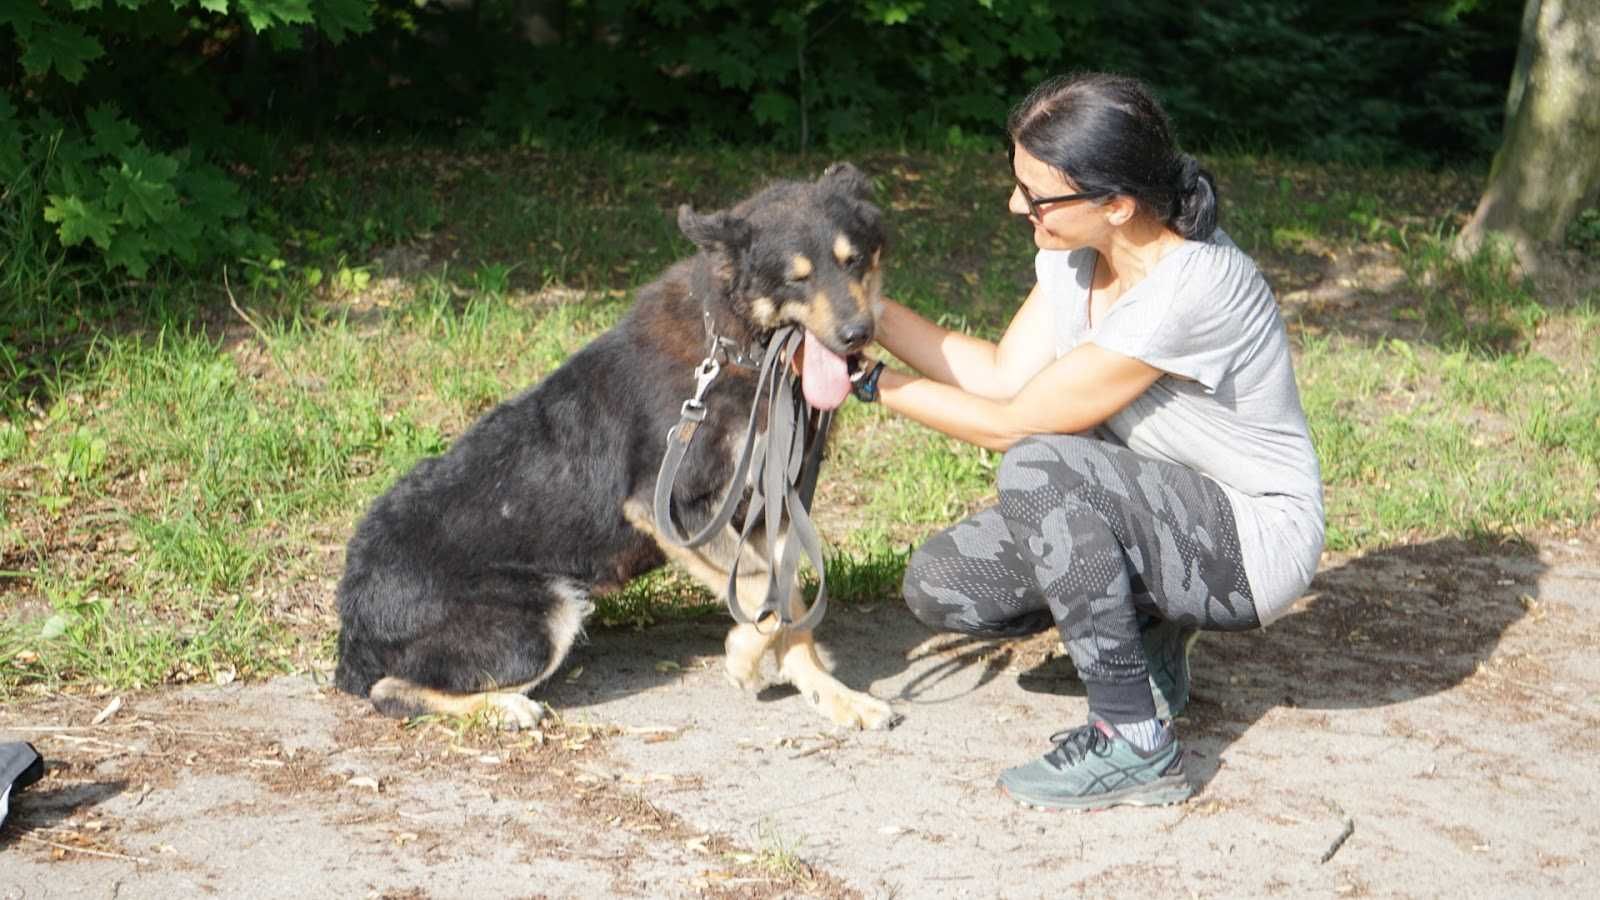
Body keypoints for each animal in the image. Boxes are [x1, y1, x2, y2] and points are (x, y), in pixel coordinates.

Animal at [334, 162, 902, 730]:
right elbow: (761, 584)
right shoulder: (672, 506)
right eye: (796, 277)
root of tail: (352, 609)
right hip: (545, 615)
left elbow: (789, 598)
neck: (738, 348)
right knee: (389, 690)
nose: (858, 334)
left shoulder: (773, 508)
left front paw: (833, 694)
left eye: (854, 260)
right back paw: (501, 706)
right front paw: (744, 655)